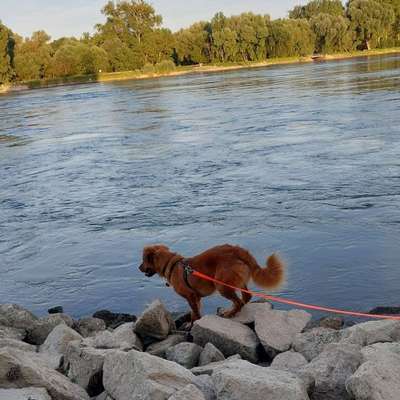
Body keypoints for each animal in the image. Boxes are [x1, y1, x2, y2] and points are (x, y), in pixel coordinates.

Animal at [138, 244, 284, 322]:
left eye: (144, 260)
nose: (139, 268)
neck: (172, 265)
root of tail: (237, 250)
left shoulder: (191, 297)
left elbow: (195, 313)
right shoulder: (196, 298)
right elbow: (194, 312)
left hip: (222, 285)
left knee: (239, 302)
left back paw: (230, 313)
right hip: (235, 281)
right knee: (246, 297)